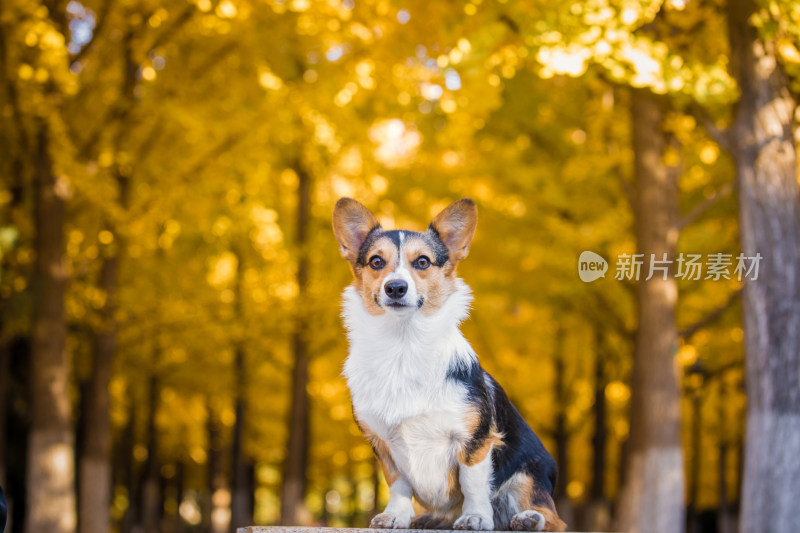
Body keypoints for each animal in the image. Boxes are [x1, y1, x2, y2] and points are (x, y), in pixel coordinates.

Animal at [332, 197, 568, 528]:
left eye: (422, 262)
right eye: (376, 261)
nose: (395, 287)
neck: (403, 345)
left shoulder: (475, 441)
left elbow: (473, 483)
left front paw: (475, 517)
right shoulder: (383, 444)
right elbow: (398, 483)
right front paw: (396, 515)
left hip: (528, 474)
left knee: (553, 518)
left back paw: (529, 519)